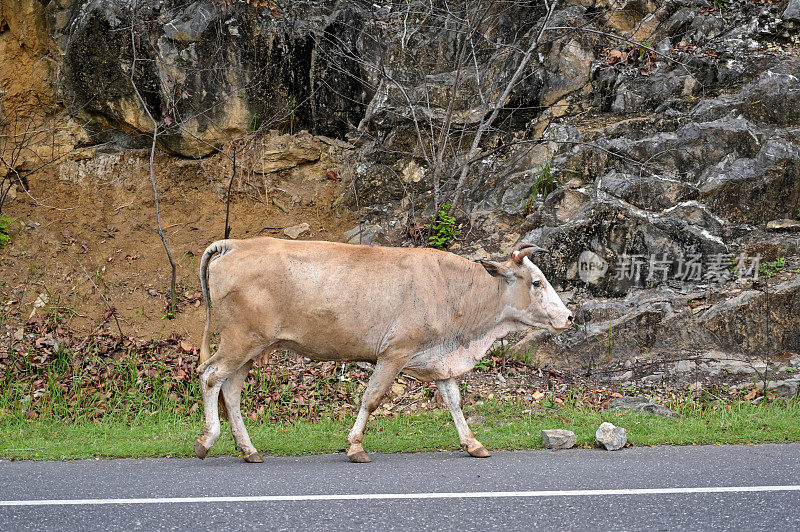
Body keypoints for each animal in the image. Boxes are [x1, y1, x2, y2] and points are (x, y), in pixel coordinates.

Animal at [195, 237, 572, 462]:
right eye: (537, 282)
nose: (569, 316)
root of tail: (235, 243)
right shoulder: (395, 353)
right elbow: (372, 398)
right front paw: (355, 447)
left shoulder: (440, 359)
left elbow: (454, 401)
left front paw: (473, 443)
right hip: (240, 339)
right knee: (211, 375)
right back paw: (207, 440)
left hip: (252, 346)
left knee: (231, 390)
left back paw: (248, 449)